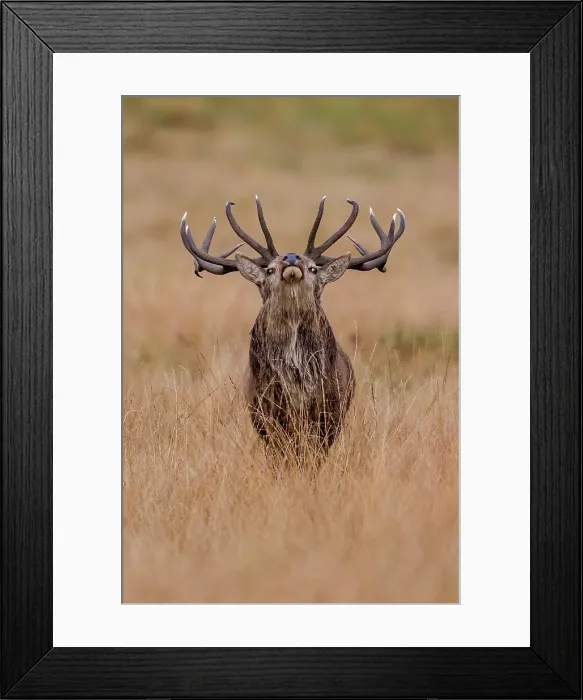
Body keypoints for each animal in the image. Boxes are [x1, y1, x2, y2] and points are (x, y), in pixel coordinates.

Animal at [180, 196, 405, 460]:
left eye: (313, 268)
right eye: (269, 269)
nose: (291, 257)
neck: (297, 381)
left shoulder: (330, 412)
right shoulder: (264, 413)